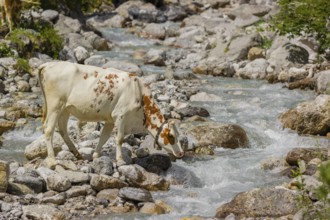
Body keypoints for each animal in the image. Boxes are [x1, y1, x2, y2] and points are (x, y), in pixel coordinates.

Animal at [37, 61, 184, 168]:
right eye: (171, 136)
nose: (181, 153)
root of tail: (48, 64)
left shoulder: (110, 120)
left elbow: (104, 137)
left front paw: (96, 156)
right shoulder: (120, 115)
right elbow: (119, 139)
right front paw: (120, 160)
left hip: (65, 109)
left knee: (62, 129)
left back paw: (77, 154)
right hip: (55, 105)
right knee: (48, 130)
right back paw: (52, 161)